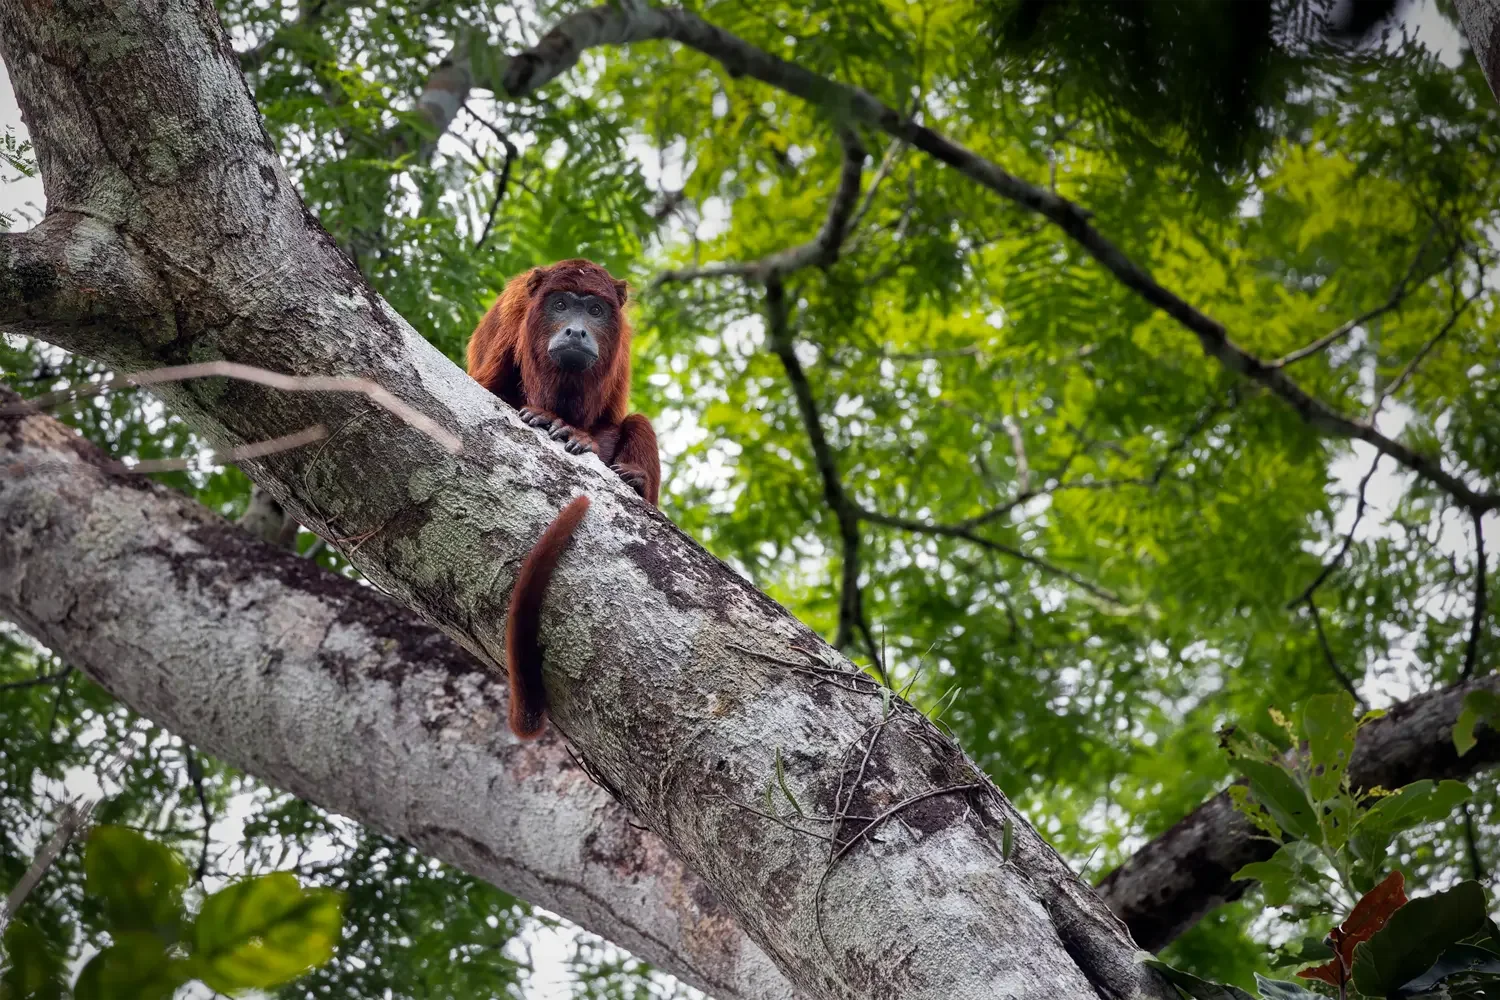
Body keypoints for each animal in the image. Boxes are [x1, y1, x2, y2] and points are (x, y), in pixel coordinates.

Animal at [467, 259, 660, 739]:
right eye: (559, 305)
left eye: (594, 310)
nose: (576, 330)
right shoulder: (512, 316)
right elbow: (485, 387)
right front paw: (543, 415)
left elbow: (609, 421)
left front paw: (577, 433)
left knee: (639, 421)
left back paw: (635, 481)